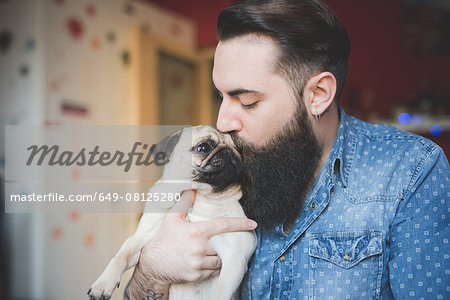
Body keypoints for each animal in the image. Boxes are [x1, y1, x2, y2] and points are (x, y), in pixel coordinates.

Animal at [88, 125, 256, 300]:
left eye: (239, 149)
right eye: (203, 147)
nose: (229, 151)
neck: (200, 195)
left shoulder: (237, 253)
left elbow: (220, 292)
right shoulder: (143, 236)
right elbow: (121, 256)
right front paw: (103, 284)